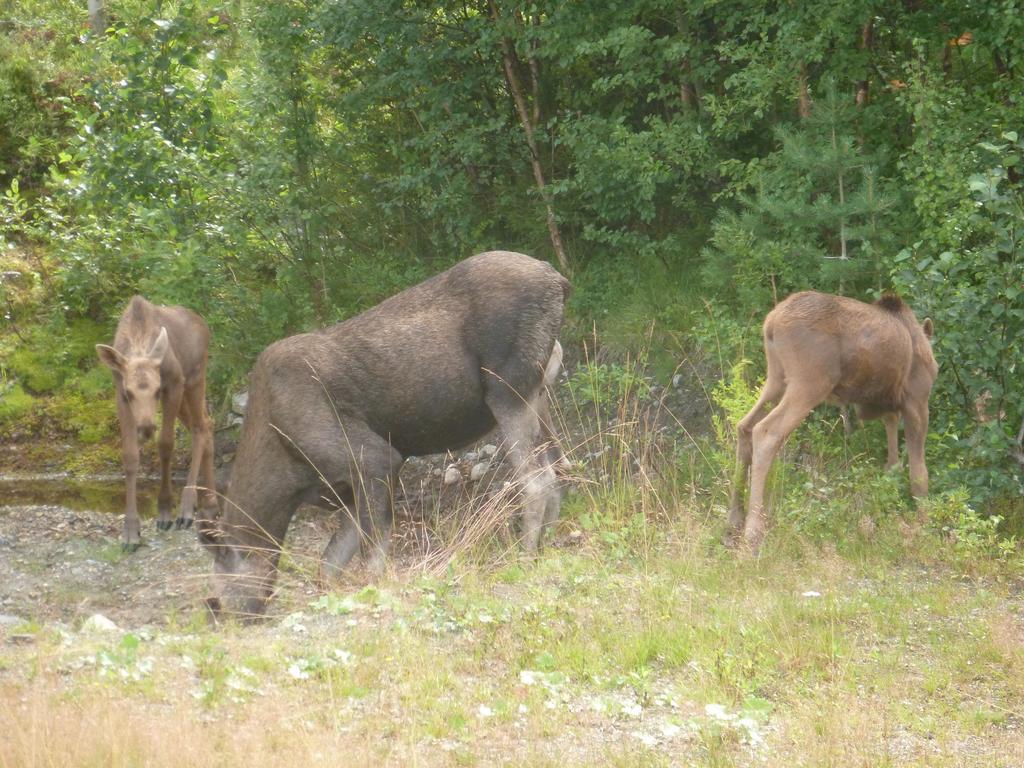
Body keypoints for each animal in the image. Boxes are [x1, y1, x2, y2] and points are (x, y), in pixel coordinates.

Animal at [96, 296, 216, 552]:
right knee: (207, 424)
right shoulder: (119, 396)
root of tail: (203, 324)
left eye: (157, 389)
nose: (147, 427)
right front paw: (130, 531)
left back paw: (187, 508)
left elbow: (166, 444)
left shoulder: (174, 383)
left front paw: (165, 511)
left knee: (200, 428)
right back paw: (210, 504)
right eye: (129, 392)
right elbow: (130, 457)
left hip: (194, 378)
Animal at [198, 252, 569, 618]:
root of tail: (559, 282)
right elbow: (329, 566)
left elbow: (372, 555)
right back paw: (548, 545)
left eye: (217, 597)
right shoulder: (350, 488)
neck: (287, 480)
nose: (223, 616)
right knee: (557, 469)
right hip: (538, 394)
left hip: (507, 391)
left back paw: (525, 556)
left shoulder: (375, 459)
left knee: (537, 481)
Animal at [729, 290, 937, 552]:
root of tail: (771, 323)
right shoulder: (917, 399)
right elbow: (919, 472)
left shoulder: (886, 406)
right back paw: (753, 534)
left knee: (744, 426)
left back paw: (733, 522)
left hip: (776, 378)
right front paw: (924, 523)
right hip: (810, 383)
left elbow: (893, 462)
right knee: (766, 432)